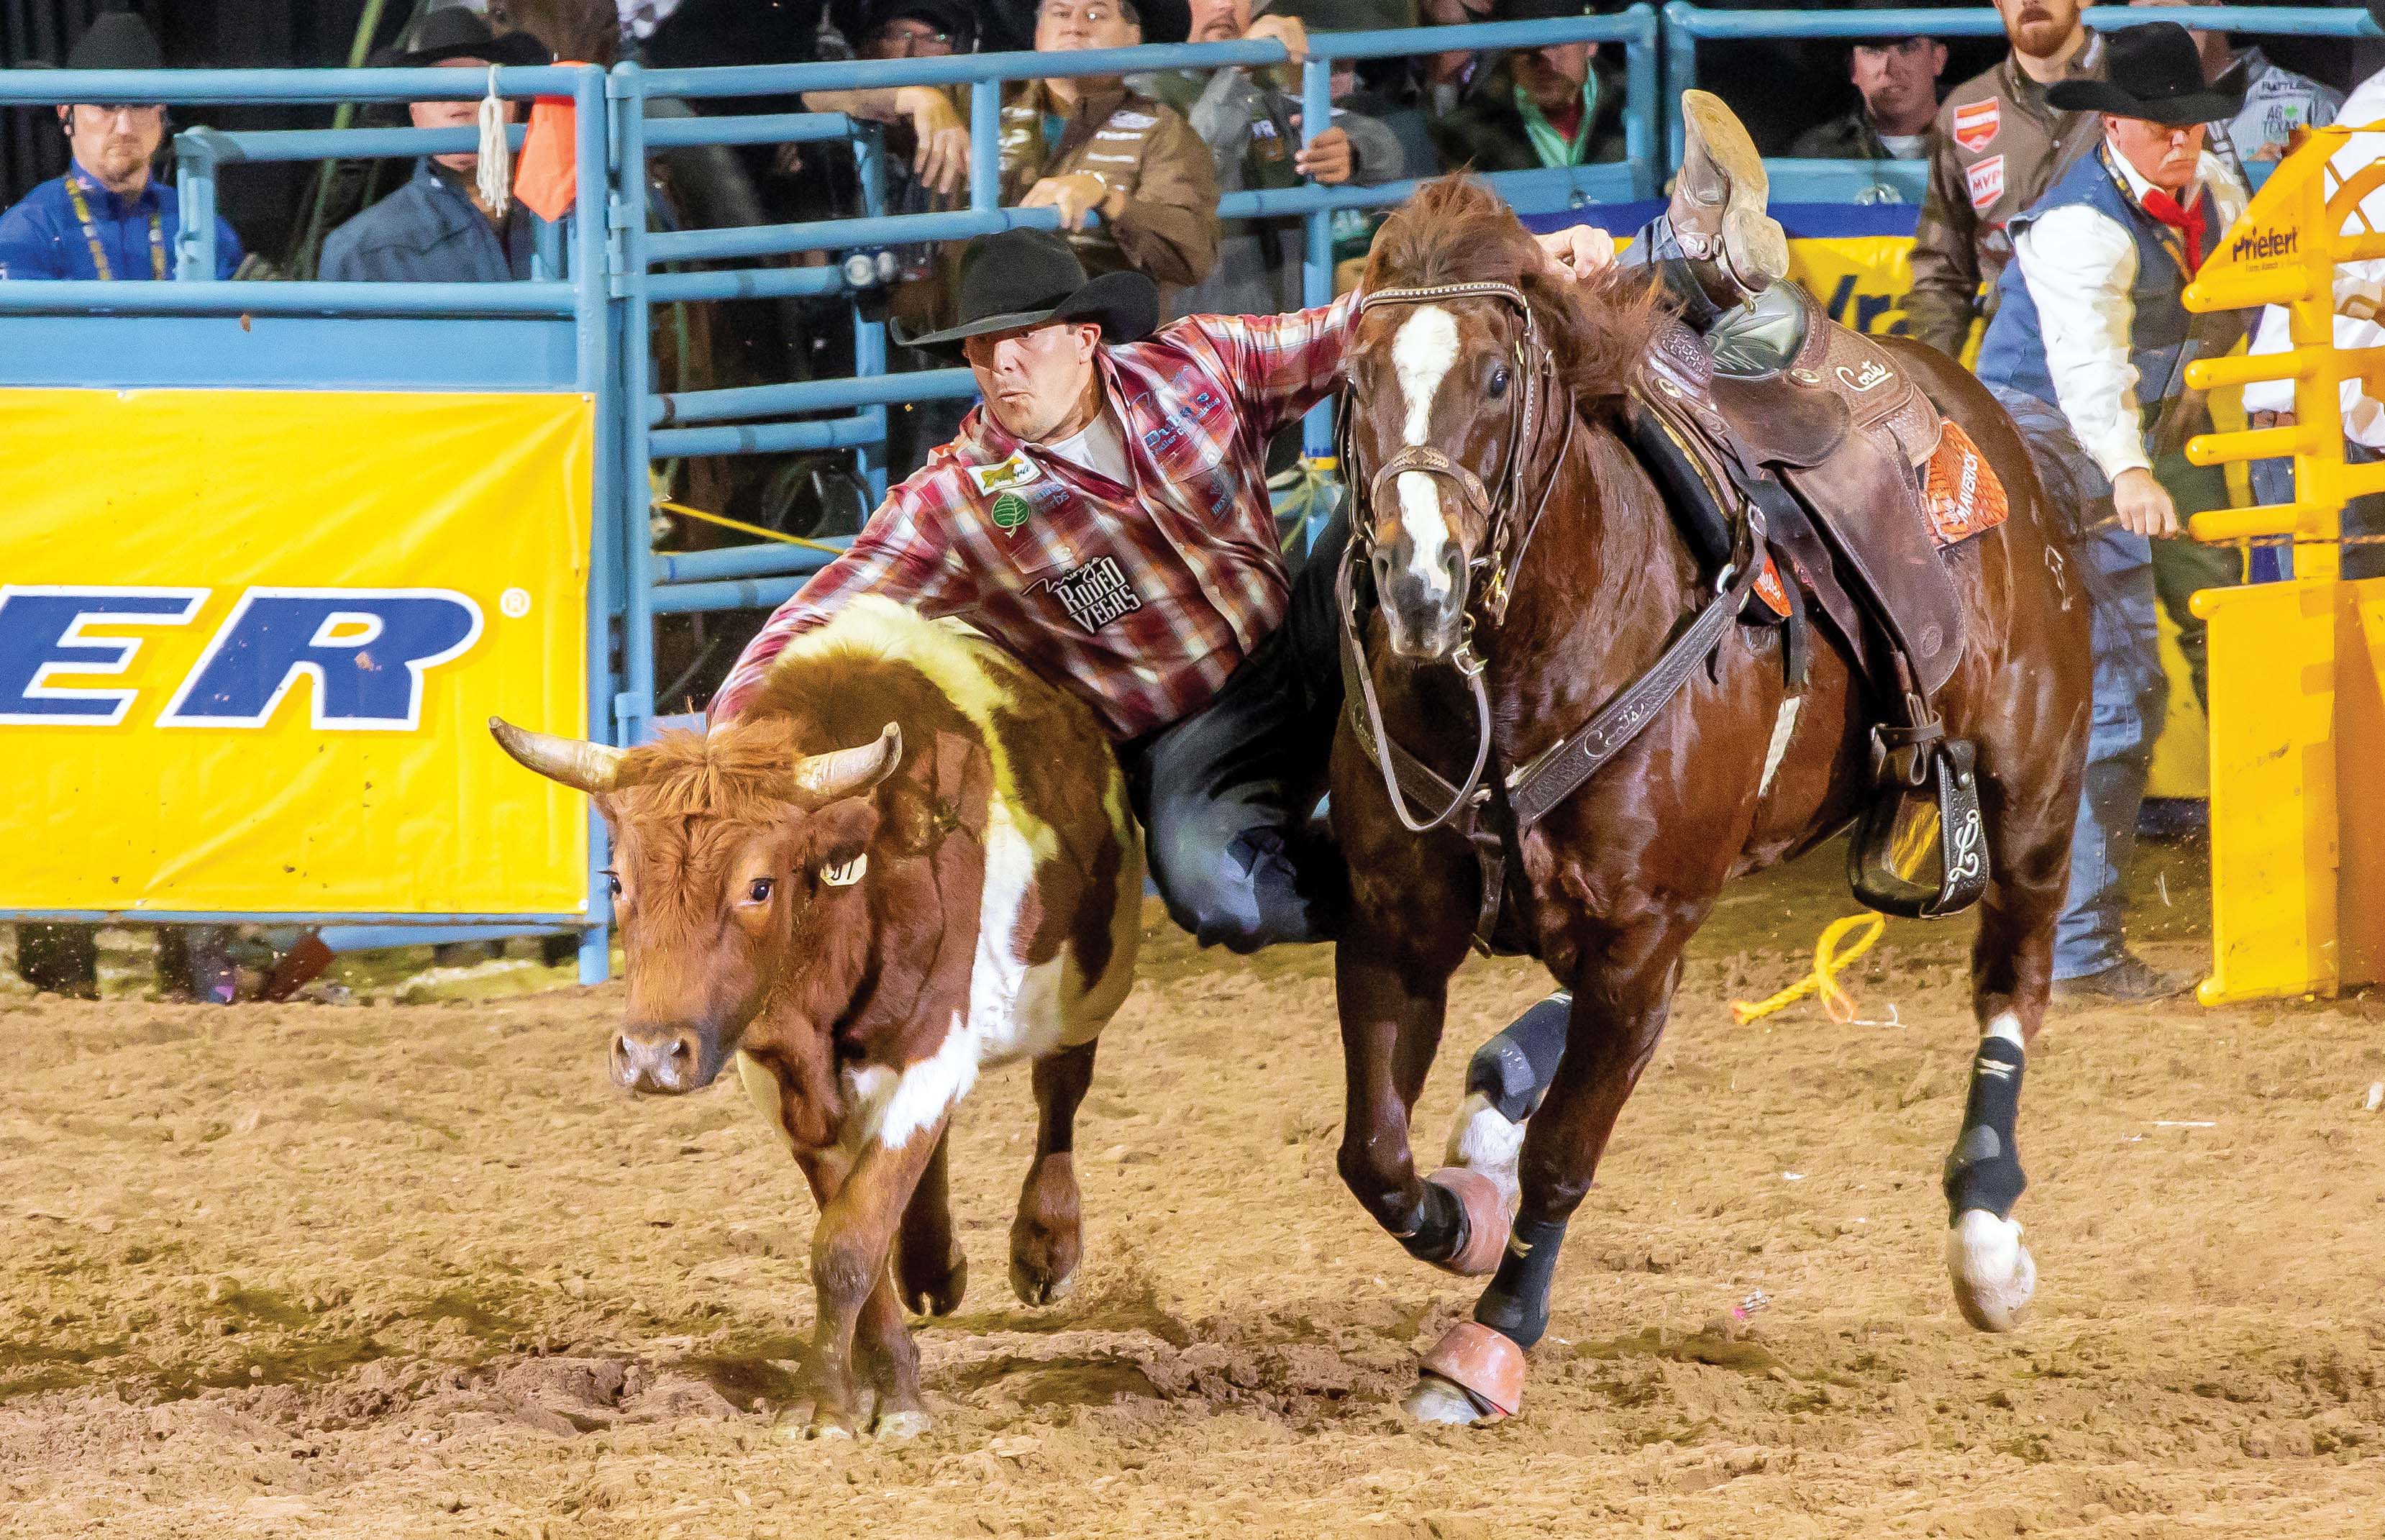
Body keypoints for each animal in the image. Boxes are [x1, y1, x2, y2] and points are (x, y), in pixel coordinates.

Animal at [1335, 177, 2099, 1421]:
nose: (1417, 584)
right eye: (1355, 383)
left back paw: (1988, 1239)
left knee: (2012, 983)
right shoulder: (1395, 922)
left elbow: (1564, 1156)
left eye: (1495, 379)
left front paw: (1492, 1338)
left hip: (2032, 791)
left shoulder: (1643, 936)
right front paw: (1466, 1215)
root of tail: (1990, 425)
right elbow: (1376, 1155)